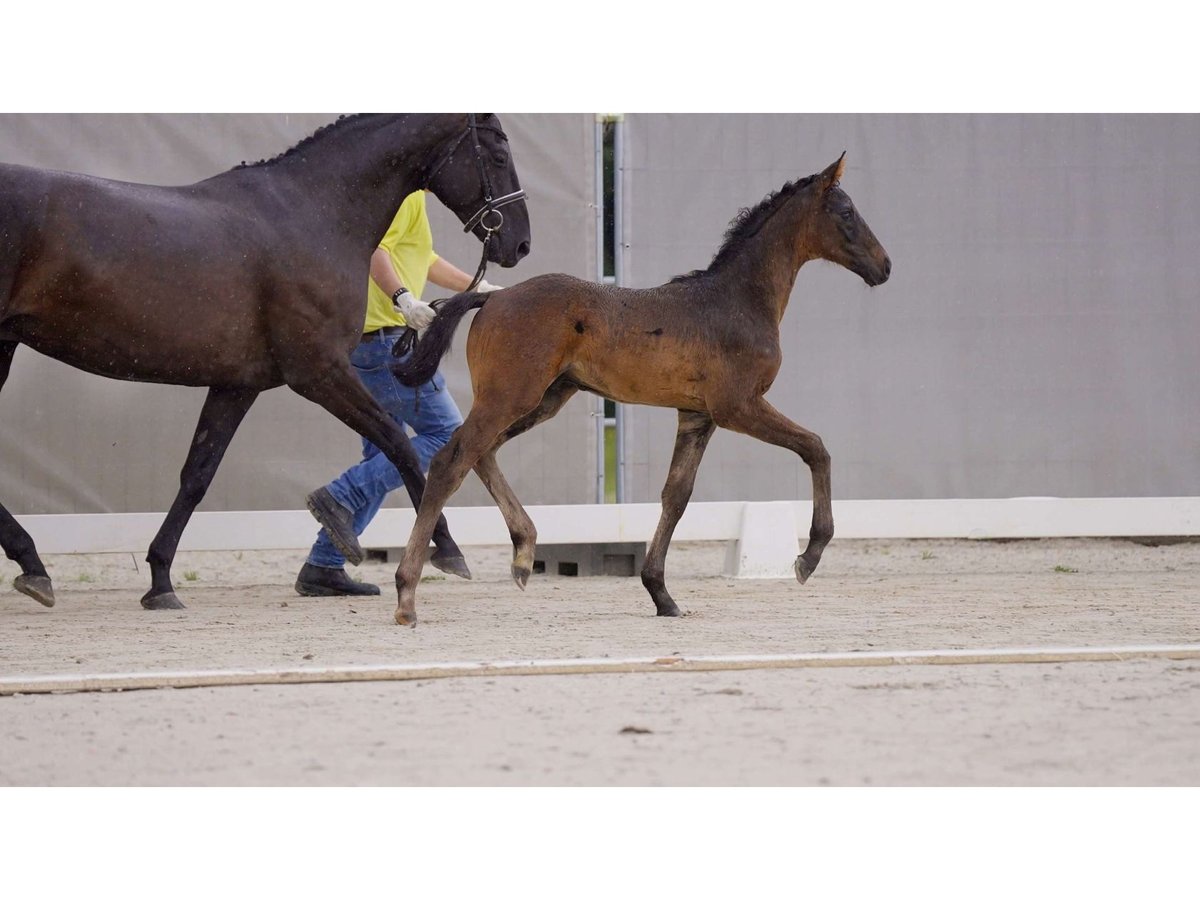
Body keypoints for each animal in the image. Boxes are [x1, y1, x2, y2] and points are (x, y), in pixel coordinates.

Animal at [1, 112, 530, 609]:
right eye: (499, 153)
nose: (520, 244)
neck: (313, 212)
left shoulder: (238, 384)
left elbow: (197, 476)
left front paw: (160, 580)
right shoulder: (318, 372)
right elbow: (398, 443)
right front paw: (448, 548)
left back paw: (34, 566)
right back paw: (33, 565)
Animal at [388, 153, 888, 628]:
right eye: (846, 212)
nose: (884, 266)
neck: (739, 299)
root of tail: (492, 296)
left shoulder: (697, 416)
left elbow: (676, 494)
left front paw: (661, 594)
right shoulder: (738, 406)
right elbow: (816, 447)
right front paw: (809, 556)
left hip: (543, 399)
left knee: (482, 454)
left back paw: (524, 554)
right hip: (509, 397)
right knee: (450, 462)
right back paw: (408, 595)